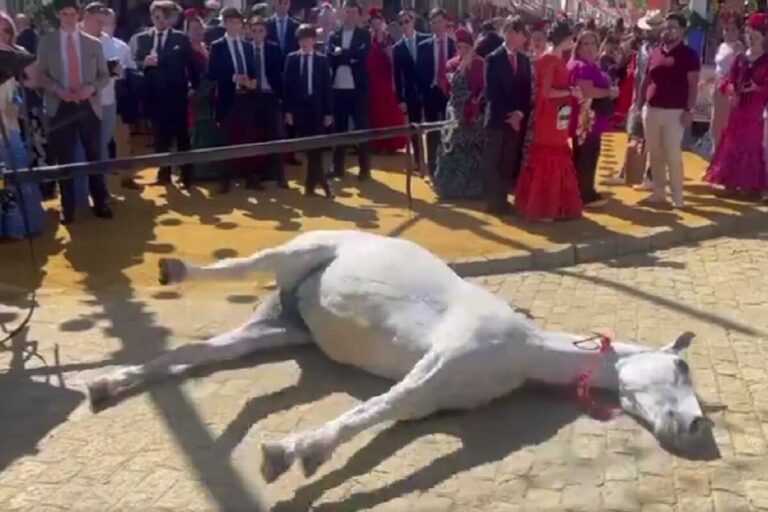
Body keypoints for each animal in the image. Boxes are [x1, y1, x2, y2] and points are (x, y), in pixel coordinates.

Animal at [85, 230, 712, 482]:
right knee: (238, 267)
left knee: (196, 354)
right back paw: (173, 269)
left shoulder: (431, 398)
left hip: (277, 331)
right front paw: (290, 453)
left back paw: (108, 384)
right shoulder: (435, 365)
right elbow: (370, 410)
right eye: (681, 366)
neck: (526, 351)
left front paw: (297, 453)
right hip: (295, 253)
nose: (695, 428)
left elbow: (384, 415)